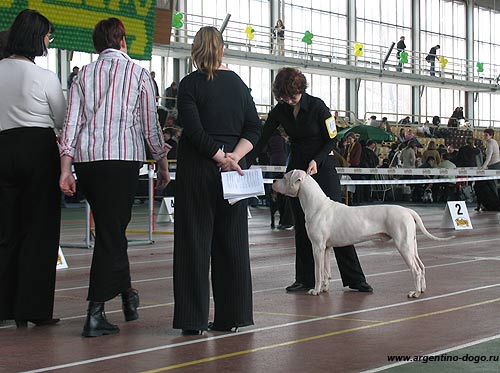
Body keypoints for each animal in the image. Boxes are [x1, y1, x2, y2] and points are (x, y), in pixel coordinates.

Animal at [274, 170, 454, 298]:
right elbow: (326, 272)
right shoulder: (326, 248)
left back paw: (414, 293)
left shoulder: (317, 247)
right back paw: (422, 290)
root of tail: (408, 211)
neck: (316, 205)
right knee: (421, 266)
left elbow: (318, 272)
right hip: (411, 244)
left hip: (403, 245)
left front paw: (315, 290)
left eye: (284, 177)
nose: (274, 181)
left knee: (416, 269)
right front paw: (324, 289)